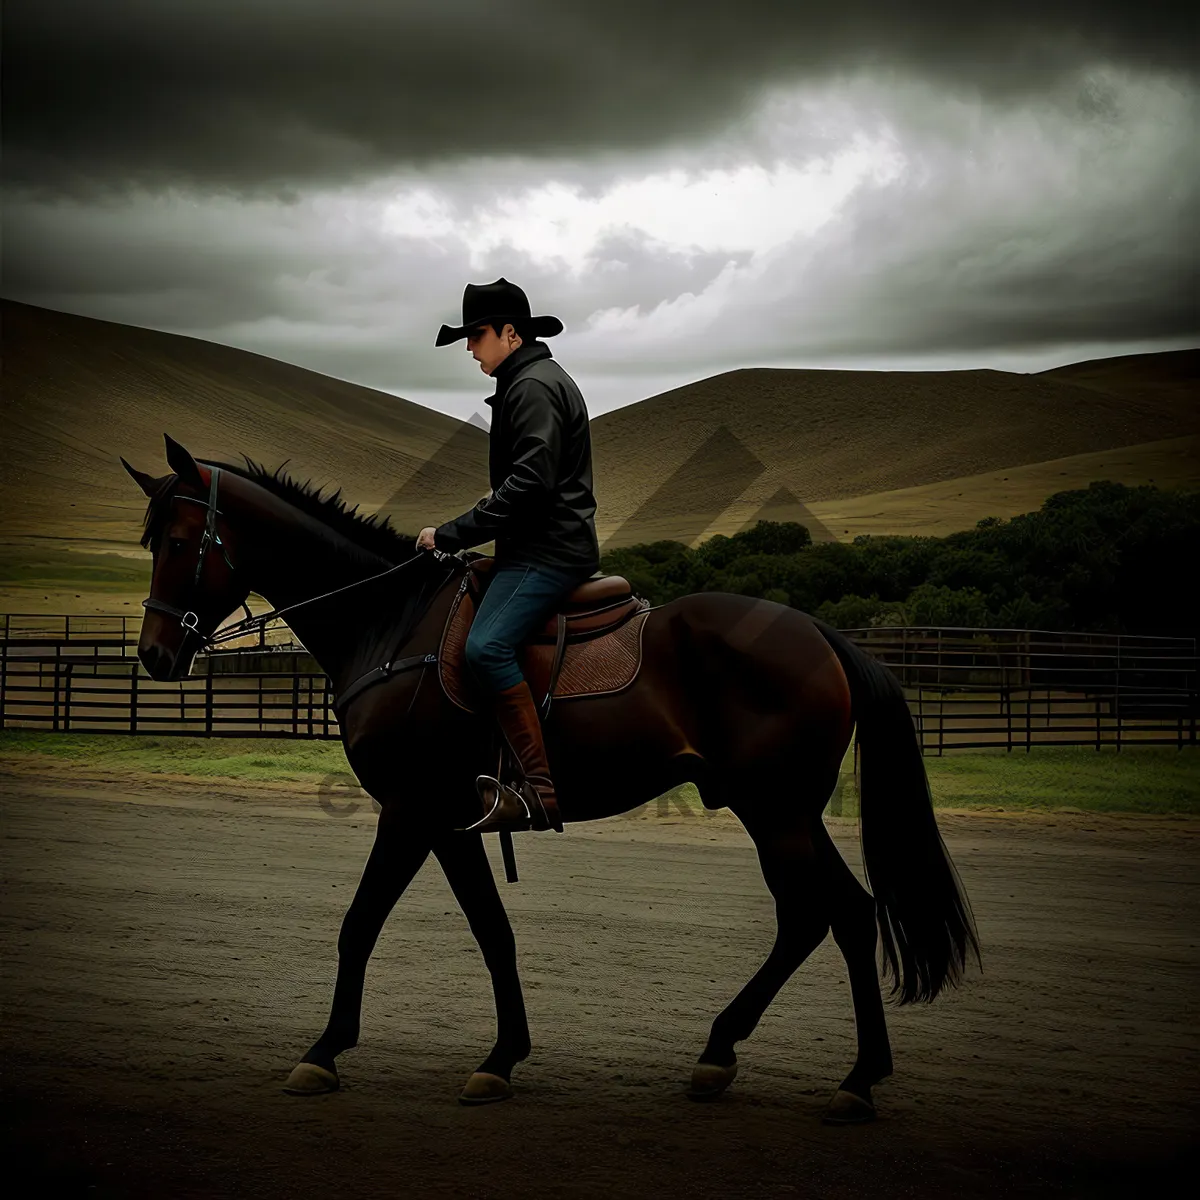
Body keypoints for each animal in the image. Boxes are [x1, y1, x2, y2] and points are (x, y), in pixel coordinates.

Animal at [126, 434, 979, 1123]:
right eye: (152, 538)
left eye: (181, 539)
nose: (157, 654)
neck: (389, 621)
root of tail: (820, 635)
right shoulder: (450, 821)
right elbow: (492, 931)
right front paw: (501, 1058)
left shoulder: (409, 809)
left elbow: (360, 924)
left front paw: (324, 1050)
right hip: (777, 813)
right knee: (818, 918)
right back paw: (723, 1054)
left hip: (779, 814)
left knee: (841, 915)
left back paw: (855, 1080)